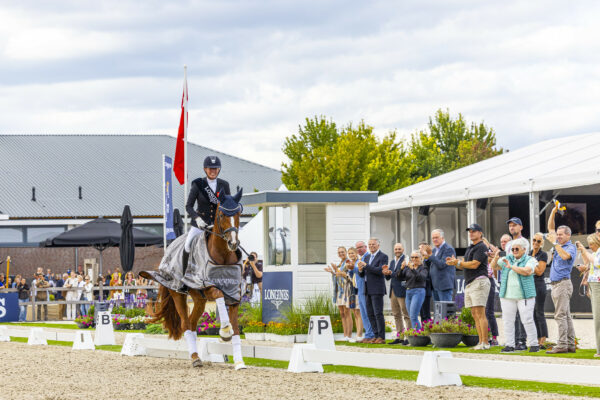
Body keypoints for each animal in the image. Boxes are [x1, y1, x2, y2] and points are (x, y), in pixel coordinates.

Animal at [148, 190, 246, 368]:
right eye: (222, 215)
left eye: (238, 214)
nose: (233, 243)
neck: (223, 257)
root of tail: (170, 247)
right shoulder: (207, 286)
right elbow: (219, 295)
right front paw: (224, 331)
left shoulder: (234, 294)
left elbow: (236, 329)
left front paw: (239, 362)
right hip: (178, 293)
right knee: (185, 324)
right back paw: (195, 358)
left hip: (199, 300)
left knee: (193, 323)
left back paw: (196, 355)